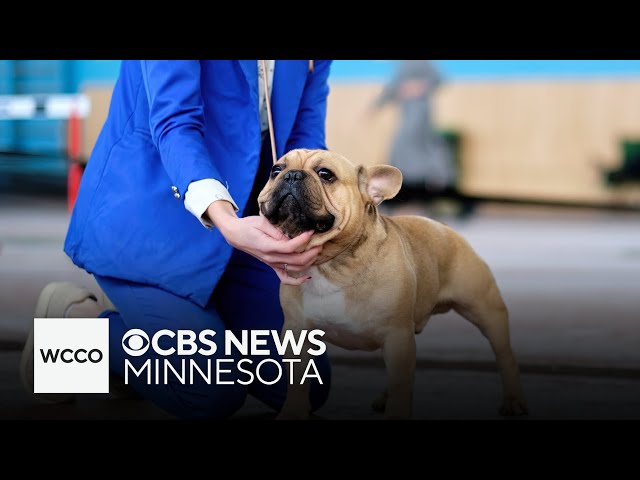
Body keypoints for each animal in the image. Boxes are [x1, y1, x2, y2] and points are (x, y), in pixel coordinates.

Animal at [258, 148, 528, 418]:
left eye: (325, 174)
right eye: (275, 170)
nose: (291, 174)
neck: (330, 263)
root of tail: (445, 228)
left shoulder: (397, 336)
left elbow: (401, 385)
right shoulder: (297, 335)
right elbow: (298, 384)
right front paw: (292, 413)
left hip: (485, 310)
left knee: (505, 355)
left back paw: (513, 401)